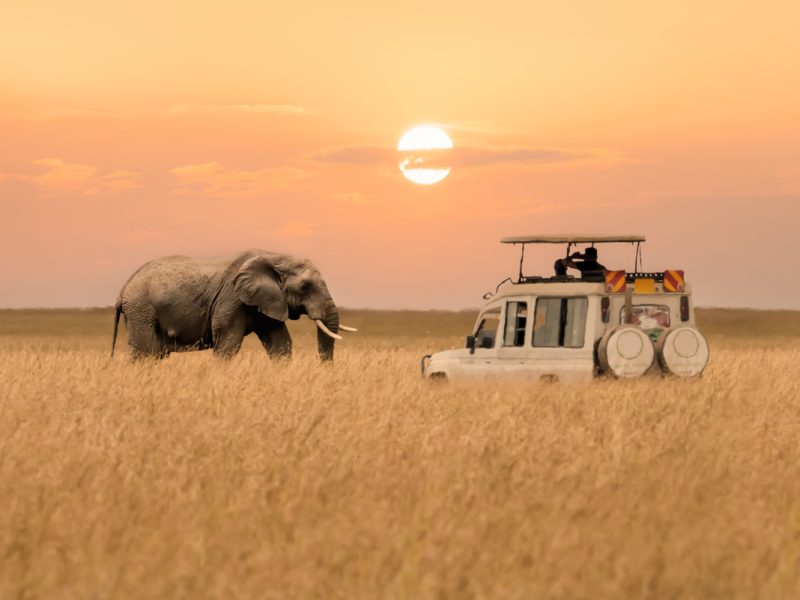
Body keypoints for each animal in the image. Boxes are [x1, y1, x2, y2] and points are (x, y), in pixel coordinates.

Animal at [110, 248, 356, 360]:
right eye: (305, 287)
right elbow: (228, 343)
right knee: (146, 352)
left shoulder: (268, 302)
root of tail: (122, 291)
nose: (326, 370)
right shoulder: (231, 299)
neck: (274, 256)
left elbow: (280, 344)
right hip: (142, 310)